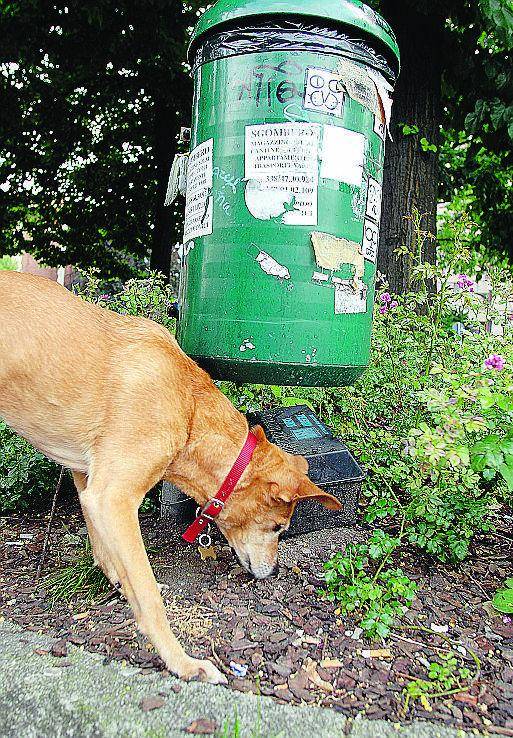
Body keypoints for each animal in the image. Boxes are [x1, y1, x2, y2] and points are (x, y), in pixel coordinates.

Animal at [0, 272, 340, 684]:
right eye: (278, 528)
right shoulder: (112, 497)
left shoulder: (87, 481)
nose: (273, 572)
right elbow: (149, 594)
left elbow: (107, 554)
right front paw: (182, 662)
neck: (187, 407)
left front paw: (118, 583)